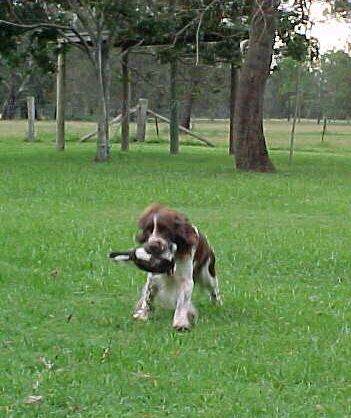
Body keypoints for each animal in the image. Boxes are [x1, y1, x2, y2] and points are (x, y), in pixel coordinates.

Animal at [133, 204, 221, 332]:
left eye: (165, 229)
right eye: (148, 230)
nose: (152, 245)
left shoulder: (186, 280)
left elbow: (182, 303)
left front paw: (180, 323)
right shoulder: (154, 276)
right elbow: (148, 296)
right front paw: (143, 315)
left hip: (208, 275)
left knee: (214, 290)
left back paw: (217, 304)